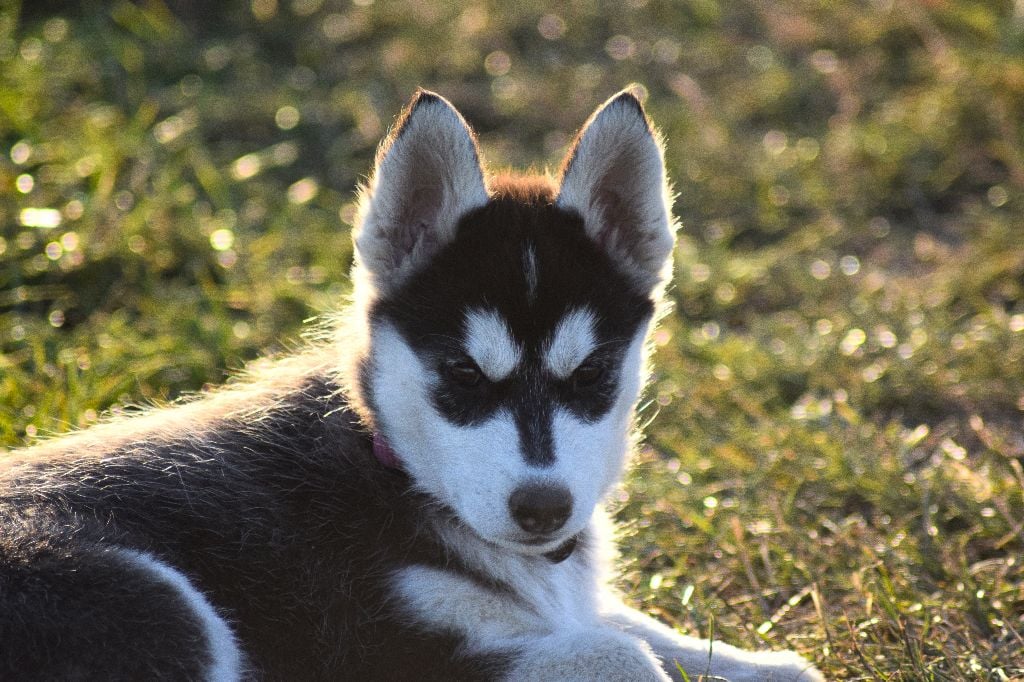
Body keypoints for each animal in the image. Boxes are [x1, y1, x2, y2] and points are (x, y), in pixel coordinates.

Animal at [0, 90, 824, 681]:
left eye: (590, 374)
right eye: (462, 373)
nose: (543, 508)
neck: (393, 465)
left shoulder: (553, 610)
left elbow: (635, 628)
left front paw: (764, 663)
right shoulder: (377, 644)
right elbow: (622, 653)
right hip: (158, 608)